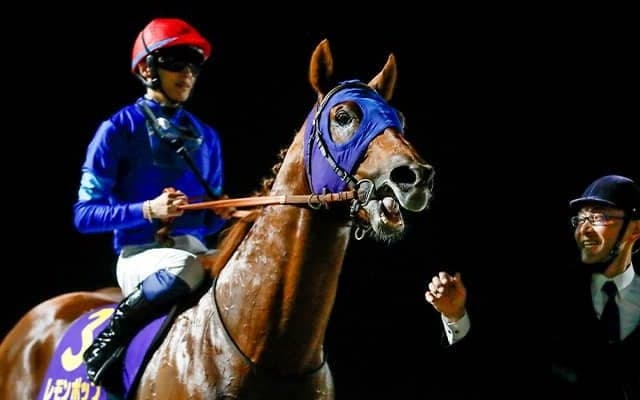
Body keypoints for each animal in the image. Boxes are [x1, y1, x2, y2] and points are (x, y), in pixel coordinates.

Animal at [0, 39, 434, 400]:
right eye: (344, 116)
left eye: (399, 119)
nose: (415, 176)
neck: (271, 353)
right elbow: (88, 207)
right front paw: (164, 206)